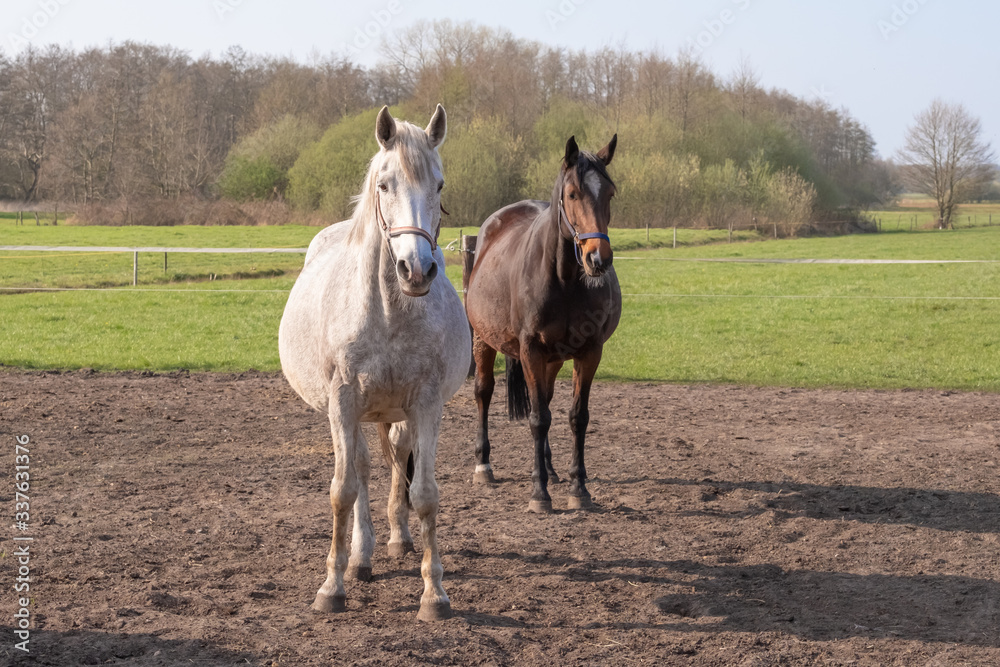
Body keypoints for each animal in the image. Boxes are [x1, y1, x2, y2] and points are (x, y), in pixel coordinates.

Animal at [278, 105, 470, 621]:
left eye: (440, 185)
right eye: (384, 184)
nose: (417, 270)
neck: (387, 310)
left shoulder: (425, 404)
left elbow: (423, 494)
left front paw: (434, 593)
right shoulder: (343, 401)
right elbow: (343, 489)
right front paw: (333, 585)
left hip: (394, 411)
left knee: (396, 457)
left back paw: (396, 540)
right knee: (362, 469)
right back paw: (360, 558)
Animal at [464, 134, 622, 513]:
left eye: (609, 193)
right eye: (572, 194)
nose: (598, 258)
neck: (564, 280)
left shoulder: (589, 352)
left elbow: (576, 417)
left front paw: (578, 488)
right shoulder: (531, 350)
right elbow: (537, 419)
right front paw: (539, 494)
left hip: (552, 360)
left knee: (547, 400)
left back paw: (550, 470)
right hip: (483, 341)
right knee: (484, 392)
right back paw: (484, 466)